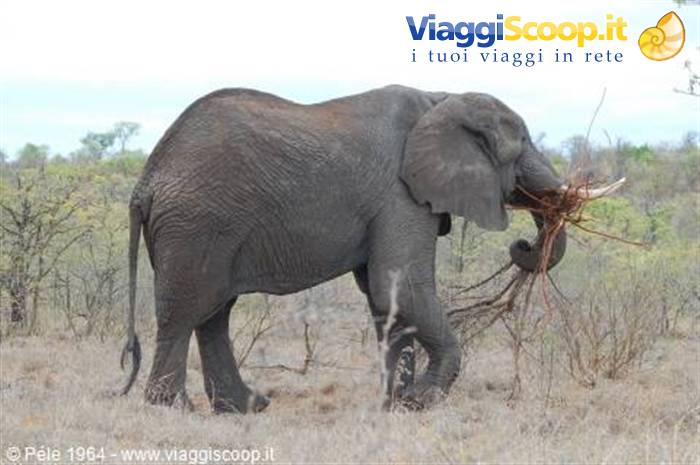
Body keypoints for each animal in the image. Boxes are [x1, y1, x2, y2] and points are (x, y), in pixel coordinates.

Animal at [117, 85, 608, 413]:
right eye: (521, 142)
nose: (523, 245)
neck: (440, 98)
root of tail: (146, 181)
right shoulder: (400, 194)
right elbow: (402, 285)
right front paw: (422, 401)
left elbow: (384, 296)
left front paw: (396, 405)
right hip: (196, 224)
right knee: (187, 310)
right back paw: (172, 408)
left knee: (214, 313)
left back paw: (246, 407)